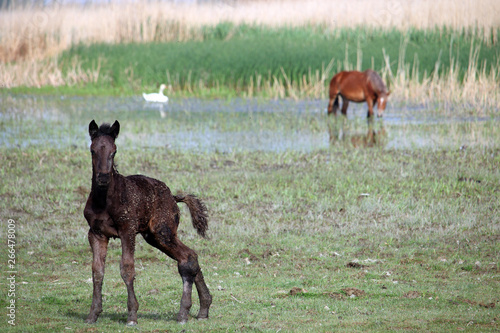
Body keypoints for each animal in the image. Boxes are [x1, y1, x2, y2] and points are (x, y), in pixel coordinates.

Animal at [83, 119, 211, 324]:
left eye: (114, 151)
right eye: (93, 150)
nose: (102, 177)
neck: (104, 200)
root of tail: (173, 197)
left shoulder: (127, 230)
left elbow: (127, 268)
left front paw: (132, 315)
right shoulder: (96, 233)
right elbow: (97, 271)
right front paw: (93, 314)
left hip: (163, 231)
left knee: (187, 257)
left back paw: (184, 312)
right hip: (153, 236)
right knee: (189, 256)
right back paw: (202, 308)